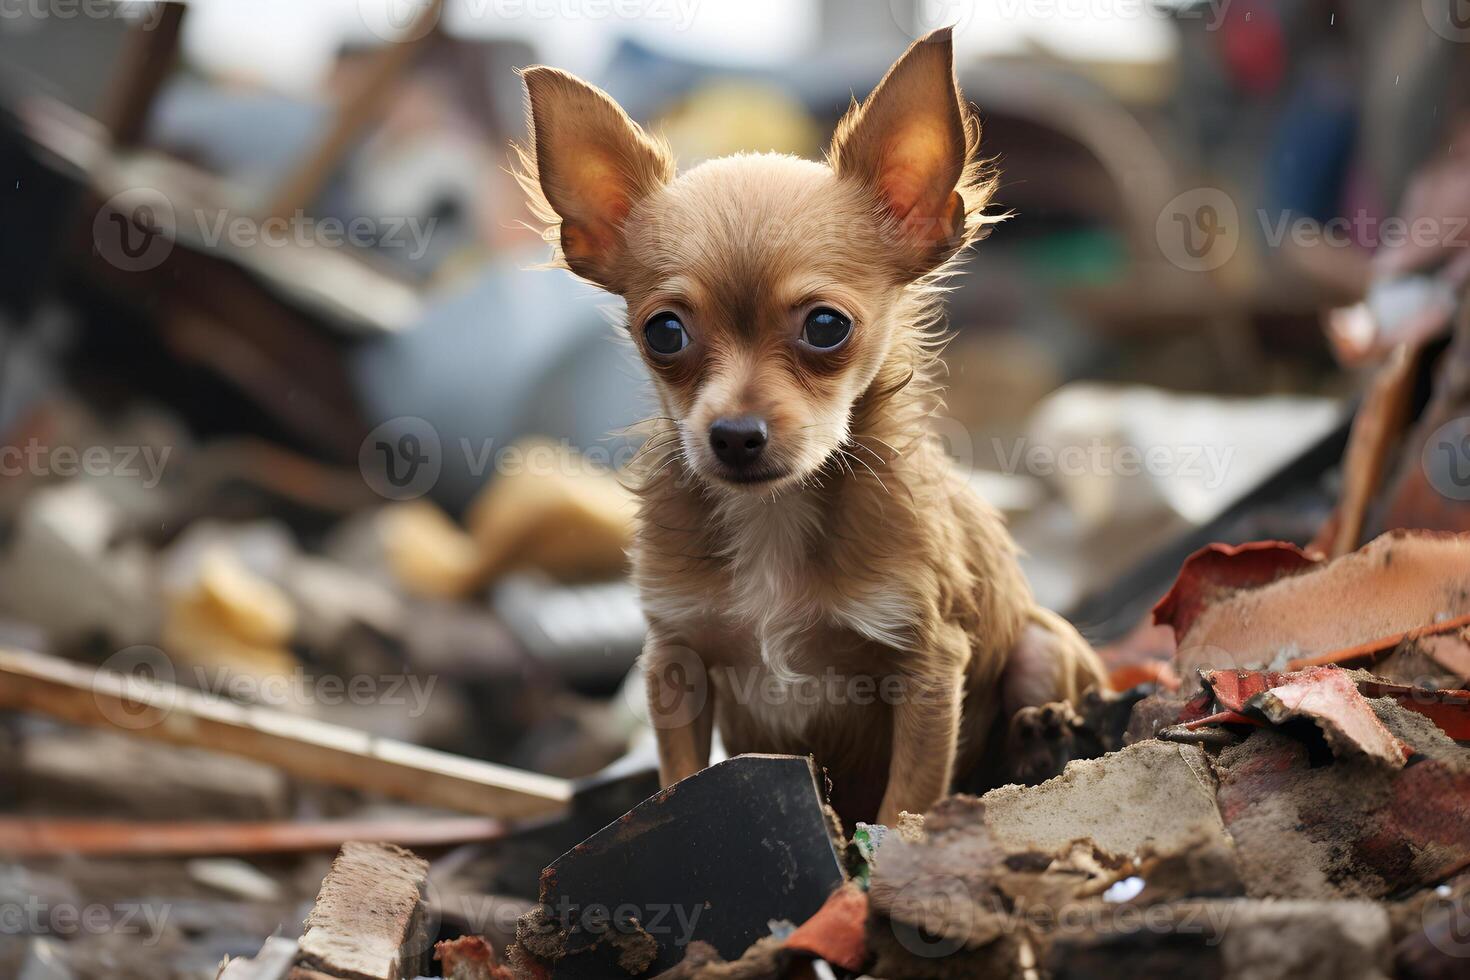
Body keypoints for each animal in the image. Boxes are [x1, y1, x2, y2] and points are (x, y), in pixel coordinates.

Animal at [517, 30, 1105, 822]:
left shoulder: (926, 663)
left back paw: (1039, 739)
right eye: (663, 333)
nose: (734, 434)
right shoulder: (676, 661)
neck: (773, 515)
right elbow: (679, 776)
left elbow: (907, 801)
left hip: (1042, 643)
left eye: (827, 327)